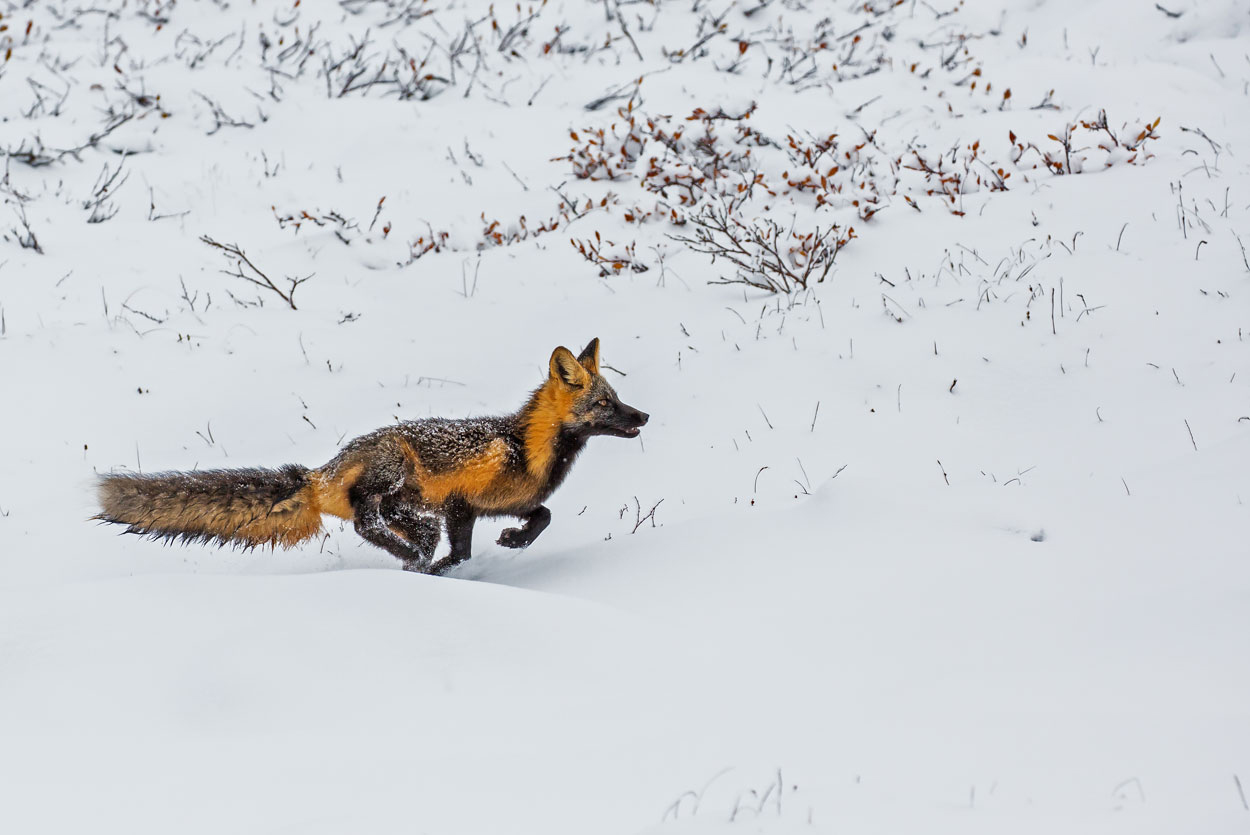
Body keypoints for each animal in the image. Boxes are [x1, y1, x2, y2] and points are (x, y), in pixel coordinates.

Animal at [92, 340, 650, 575]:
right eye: (605, 404)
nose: (643, 416)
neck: (524, 449)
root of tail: (320, 473)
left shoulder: (498, 505)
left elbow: (544, 514)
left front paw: (516, 540)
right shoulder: (459, 504)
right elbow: (462, 553)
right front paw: (441, 569)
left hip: (405, 501)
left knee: (387, 523)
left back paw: (411, 552)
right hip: (395, 473)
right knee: (366, 518)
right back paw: (412, 555)